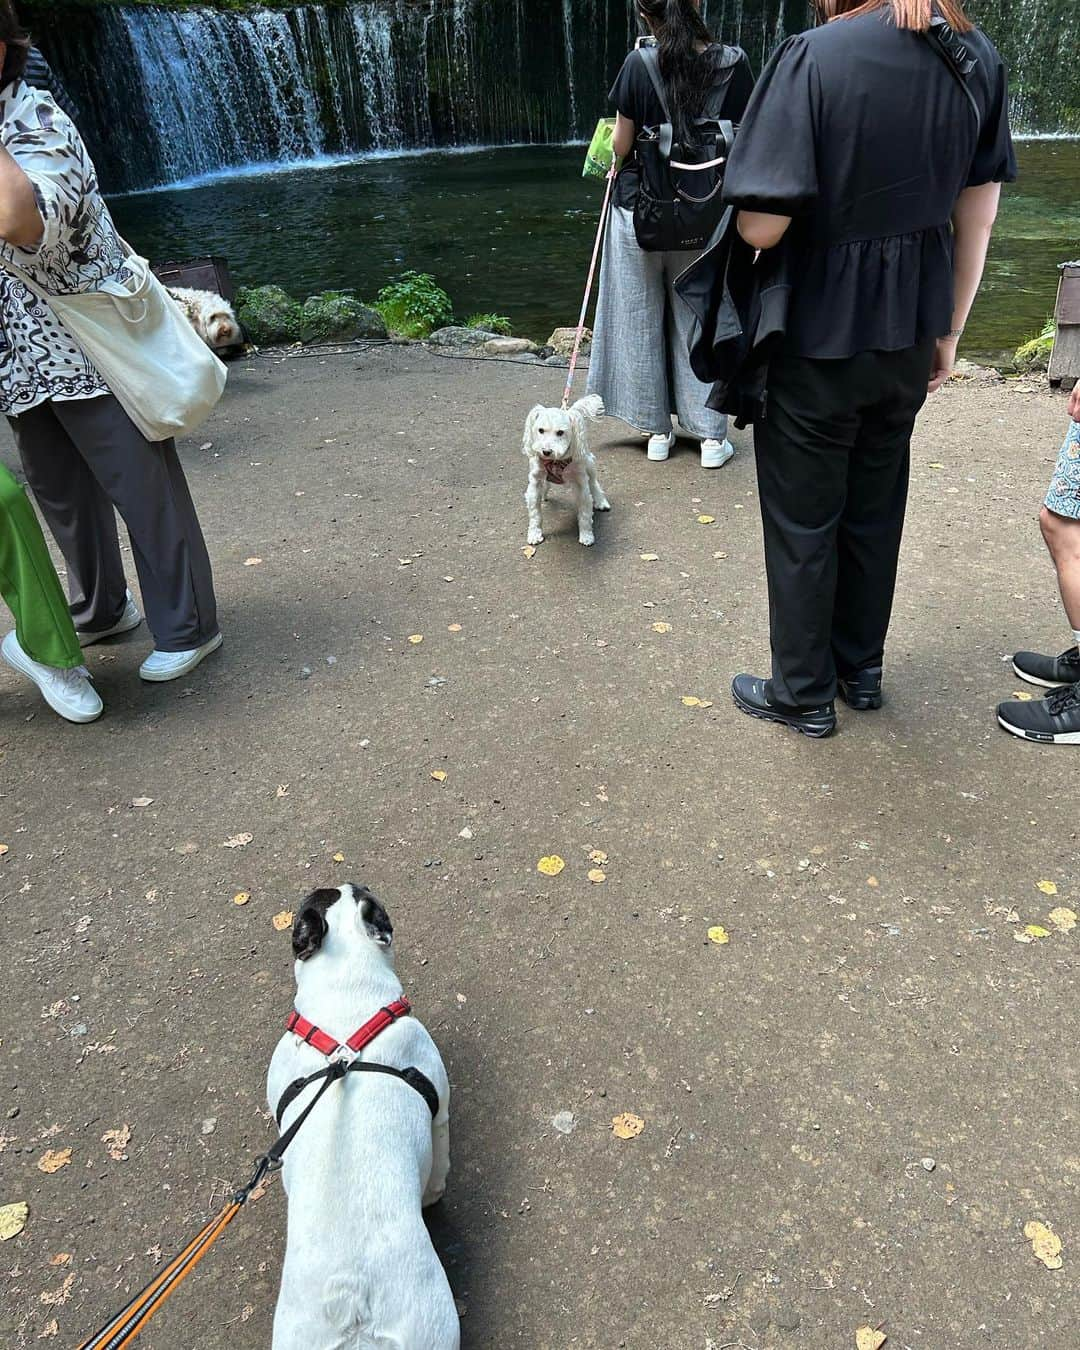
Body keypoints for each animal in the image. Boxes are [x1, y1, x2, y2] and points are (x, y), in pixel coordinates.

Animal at [521, 394, 607, 545]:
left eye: (560, 432)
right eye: (540, 430)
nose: (546, 451)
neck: (555, 461)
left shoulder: (580, 483)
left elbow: (584, 512)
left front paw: (586, 534)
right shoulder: (535, 481)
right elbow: (535, 513)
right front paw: (534, 533)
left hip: (589, 463)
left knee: (594, 482)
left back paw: (601, 500)